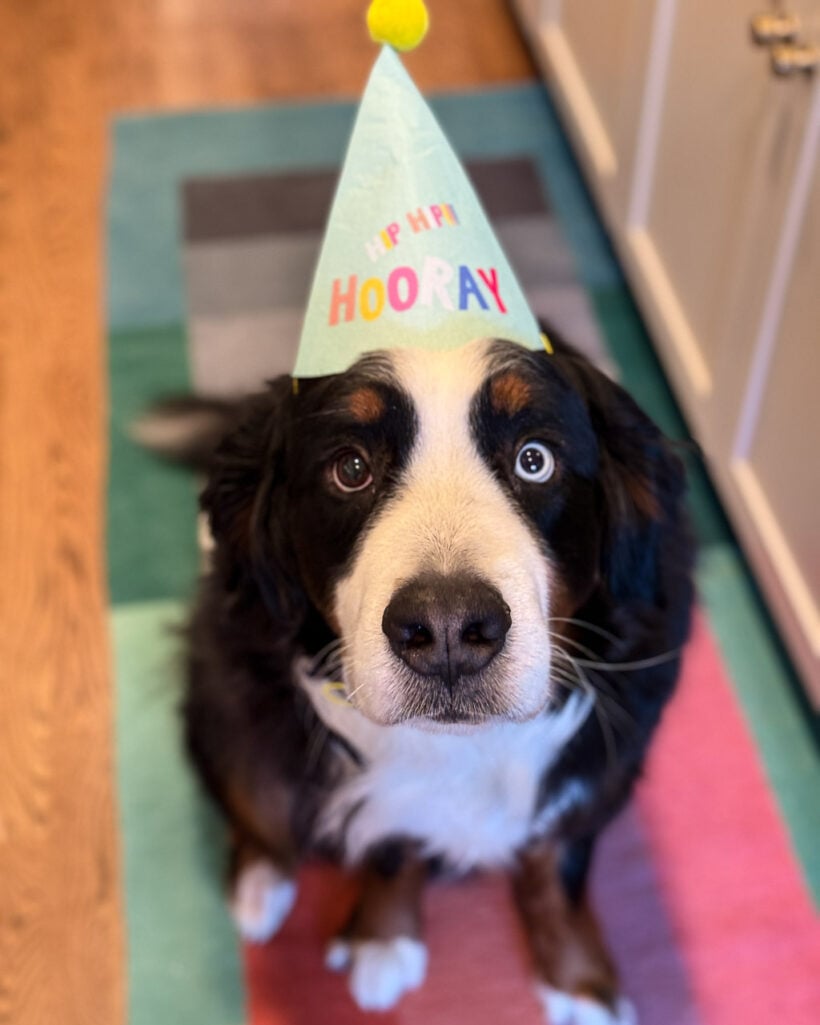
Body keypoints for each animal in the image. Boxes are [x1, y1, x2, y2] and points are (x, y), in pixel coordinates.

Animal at [144, 332, 697, 1020]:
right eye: (351, 468)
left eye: (534, 460)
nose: (449, 630)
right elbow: (391, 843)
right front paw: (386, 942)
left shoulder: (599, 764)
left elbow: (561, 864)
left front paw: (579, 980)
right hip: (226, 695)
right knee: (257, 801)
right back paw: (259, 882)